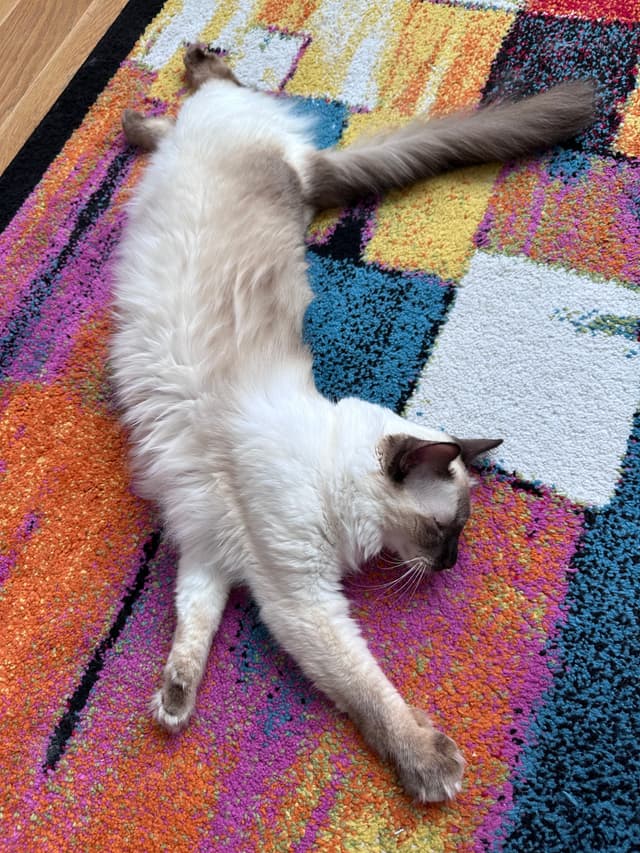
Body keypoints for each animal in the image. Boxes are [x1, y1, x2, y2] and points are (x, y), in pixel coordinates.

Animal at [111, 45, 596, 804]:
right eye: (443, 530)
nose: (451, 563)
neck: (326, 474)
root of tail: (302, 173)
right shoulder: (296, 594)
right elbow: (365, 687)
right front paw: (431, 767)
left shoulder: (218, 551)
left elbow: (195, 620)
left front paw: (175, 700)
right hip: (230, 133)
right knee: (215, 97)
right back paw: (181, 73)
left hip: (244, 146)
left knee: (200, 115)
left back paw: (149, 109)